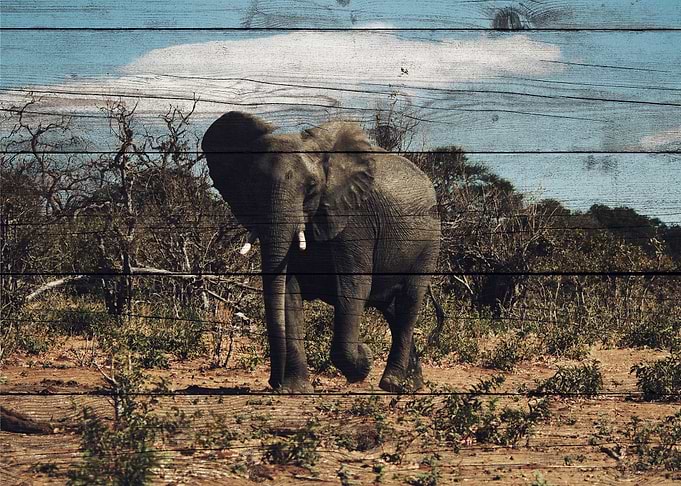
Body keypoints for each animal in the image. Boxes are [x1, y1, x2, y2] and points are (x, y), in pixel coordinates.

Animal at [202, 112, 441, 393]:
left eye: (312, 186)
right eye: (252, 185)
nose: (274, 382)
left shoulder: (354, 219)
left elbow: (354, 287)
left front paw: (364, 361)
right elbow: (289, 292)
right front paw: (295, 390)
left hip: (429, 242)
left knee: (408, 302)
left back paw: (392, 384)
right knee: (390, 308)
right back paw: (412, 384)